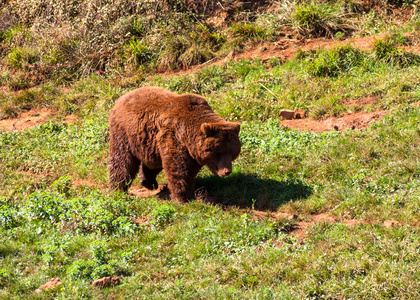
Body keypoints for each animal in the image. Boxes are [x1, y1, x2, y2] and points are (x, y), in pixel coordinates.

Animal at [108, 85, 241, 200]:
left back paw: (149, 182)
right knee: (122, 161)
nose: (227, 171)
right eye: (218, 152)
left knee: (154, 162)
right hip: (124, 132)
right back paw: (117, 189)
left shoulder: (191, 151)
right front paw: (184, 197)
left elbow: (188, 169)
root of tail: (122, 97)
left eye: (233, 152)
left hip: (149, 143)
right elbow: (179, 168)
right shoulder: (174, 136)